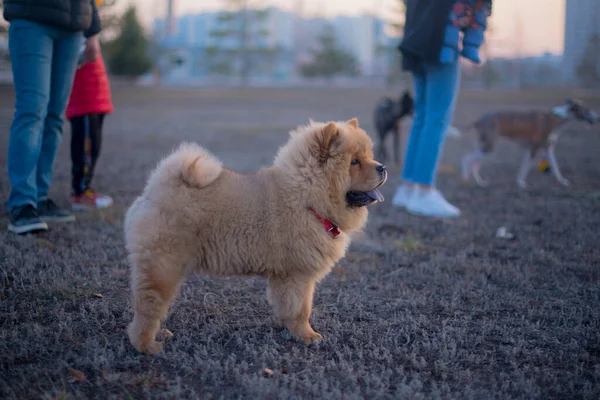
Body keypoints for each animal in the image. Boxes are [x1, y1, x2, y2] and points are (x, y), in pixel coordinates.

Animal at [125, 118, 390, 354]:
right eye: (354, 161)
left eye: (369, 155)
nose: (382, 167)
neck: (306, 197)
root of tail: (155, 190)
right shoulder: (298, 275)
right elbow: (302, 309)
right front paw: (307, 335)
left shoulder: (284, 277)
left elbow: (286, 306)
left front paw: (287, 328)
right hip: (163, 267)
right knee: (148, 307)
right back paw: (147, 346)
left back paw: (159, 334)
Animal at [462, 99, 596, 188]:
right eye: (587, 109)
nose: (597, 118)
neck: (555, 119)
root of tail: (479, 120)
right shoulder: (534, 149)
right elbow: (526, 167)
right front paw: (521, 183)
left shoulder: (547, 149)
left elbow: (555, 167)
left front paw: (563, 181)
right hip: (488, 147)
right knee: (466, 159)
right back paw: (466, 178)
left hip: (484, 148)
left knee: (473, 163)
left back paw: (479, 182)